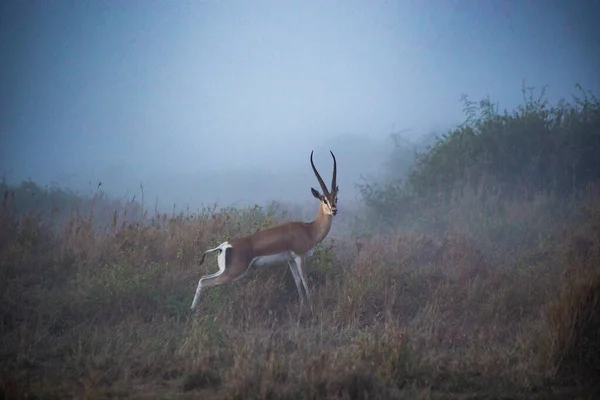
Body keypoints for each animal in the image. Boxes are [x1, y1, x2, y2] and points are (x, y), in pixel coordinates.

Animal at [191, 150, 338, 310]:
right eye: (324, 199)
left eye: (335, 198)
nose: (334, 210)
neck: (309, 229)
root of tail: (223, 246)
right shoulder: (300, 256)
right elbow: (305, 282)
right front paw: (311, 305)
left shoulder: (290, 260)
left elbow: (298, 282)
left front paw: (302, 304)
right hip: (233, 272)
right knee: (205, 281)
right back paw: (193, 310)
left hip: (223, 270)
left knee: (202, 278)